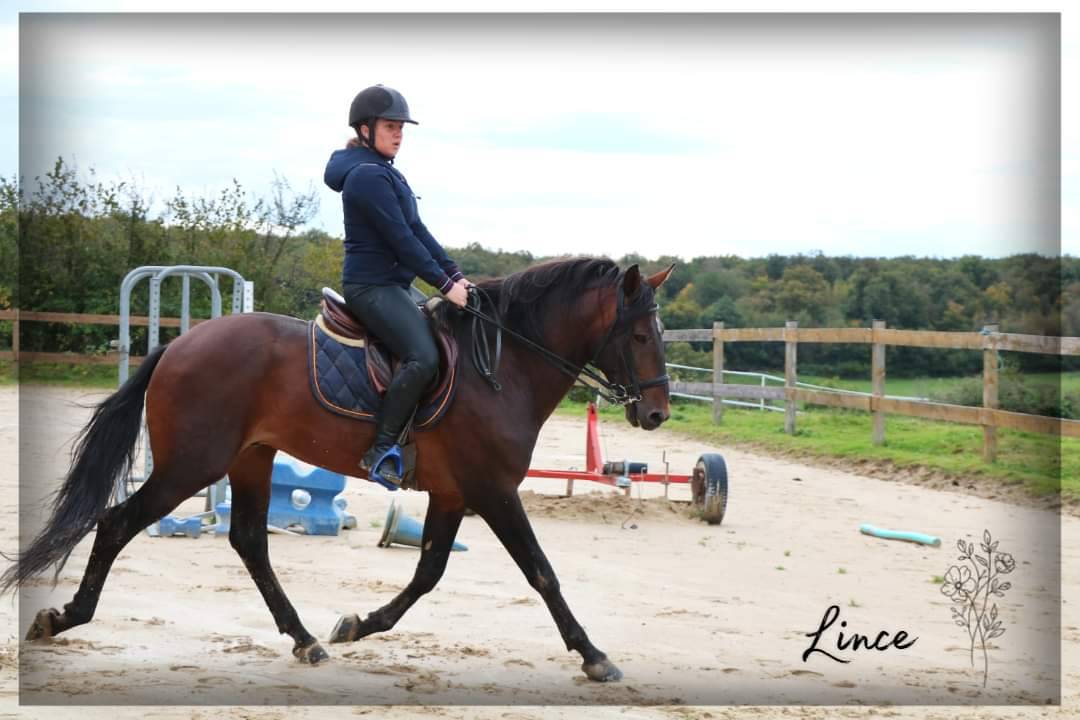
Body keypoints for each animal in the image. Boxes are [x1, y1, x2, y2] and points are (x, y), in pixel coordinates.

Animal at [4, 257, 674, 683]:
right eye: (641, 335)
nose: (658, 414)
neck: (502, 366)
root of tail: (179, 344)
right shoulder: (493, 490)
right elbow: (542, 573)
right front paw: (593, 655)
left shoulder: (453, 493)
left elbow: (428, 573)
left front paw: (357, 625)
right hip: (192, 465)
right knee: (118, 523)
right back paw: (62, 618)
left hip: (249, 459)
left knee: (249, 541)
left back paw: (304, 641)